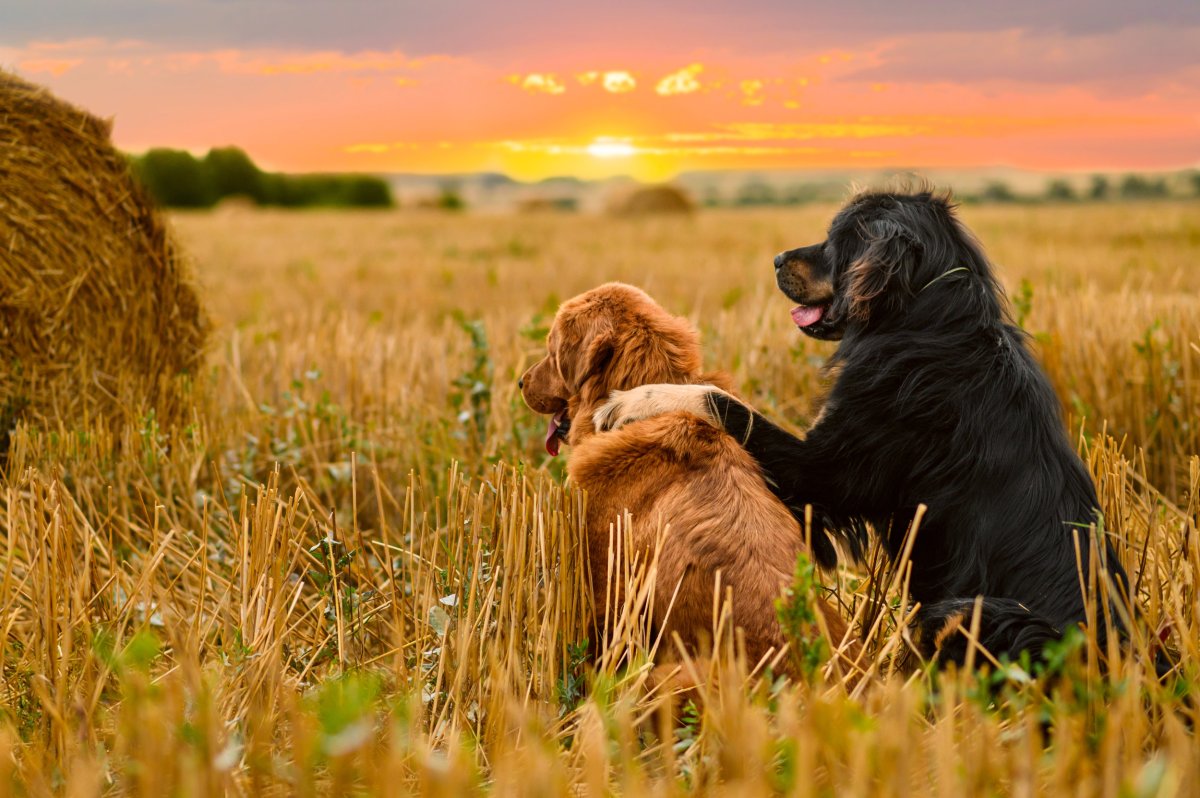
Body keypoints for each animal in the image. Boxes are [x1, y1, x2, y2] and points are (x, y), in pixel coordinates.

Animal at [600, 188, 1132, 667]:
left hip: (981, 612)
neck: (925, 325)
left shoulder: (826, 474)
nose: (777, 259)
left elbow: (725, 404)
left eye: (837, 242)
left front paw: (636, 400)